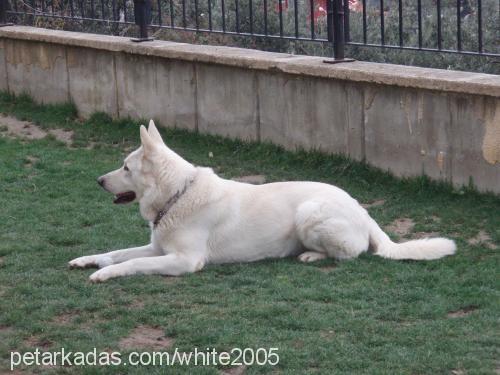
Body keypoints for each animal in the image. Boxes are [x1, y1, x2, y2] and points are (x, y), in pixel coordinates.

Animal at [68, 120, 456, 282]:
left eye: (125, 167)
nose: (98, 180)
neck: (179, 194)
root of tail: (361, 208)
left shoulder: (183, 260)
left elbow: (132, 263)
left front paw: (104, 274)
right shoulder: (157, 249)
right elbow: (118, 252)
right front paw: (88, 260)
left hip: (309, 212)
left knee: (352, 253)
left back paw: (311, 255)